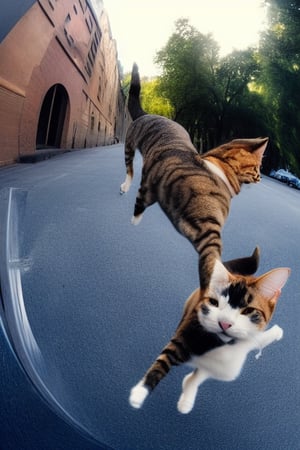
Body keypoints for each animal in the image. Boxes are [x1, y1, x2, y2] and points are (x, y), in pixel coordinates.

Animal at [120, 62, 268, 288]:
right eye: (258, 168)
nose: (261, 177)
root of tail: (148, 114)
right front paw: (134, 220)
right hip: (129, 145)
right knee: (130, 169)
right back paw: (126, 187)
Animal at [129, 250, 290, 414]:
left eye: (248, 310)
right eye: (214, 302)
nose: (225, 323)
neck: (222, 344)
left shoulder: (237, 352)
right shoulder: (188, 332)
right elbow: (164, 360)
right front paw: (140, 391)